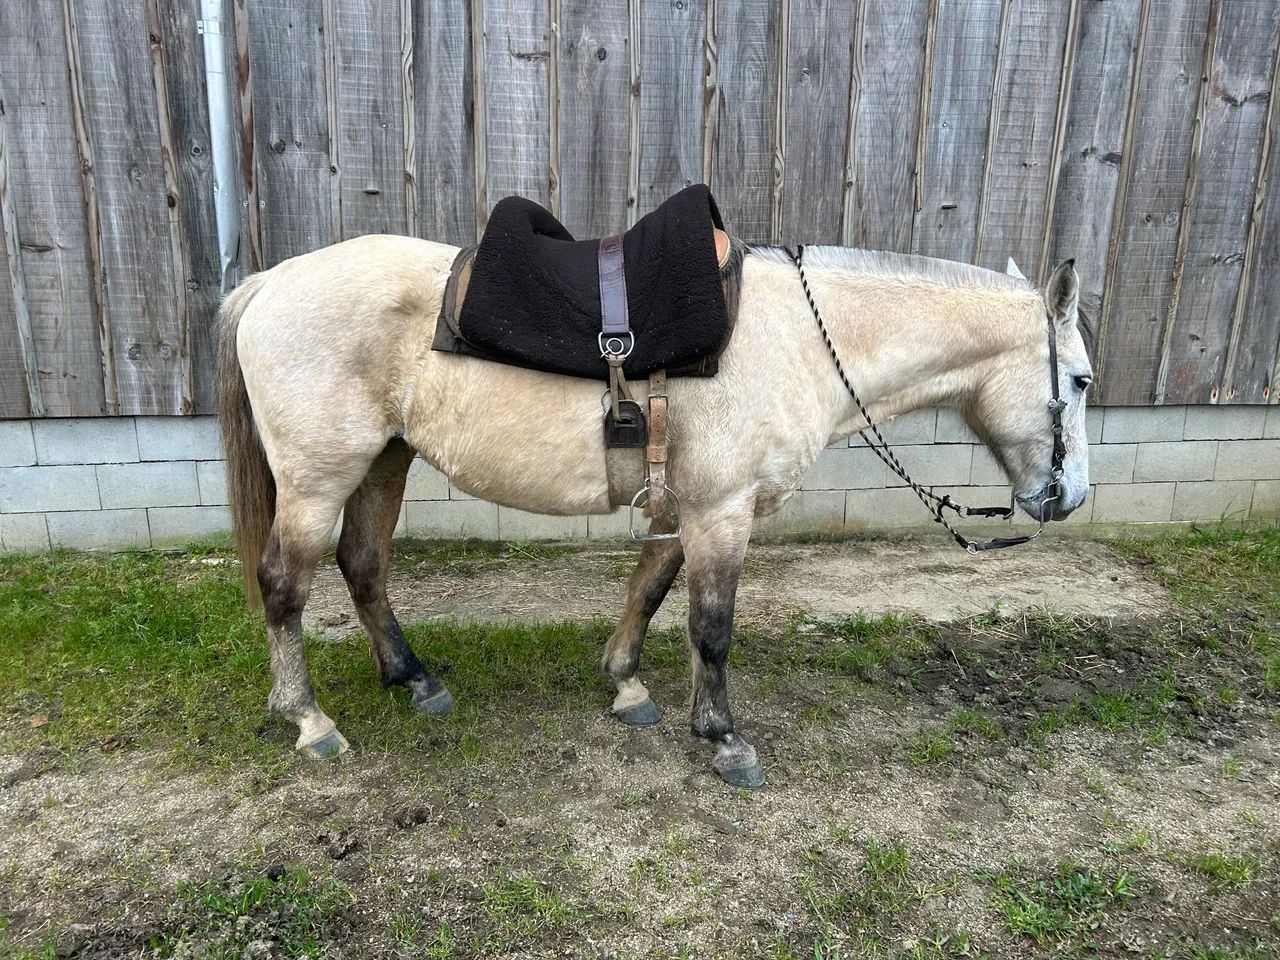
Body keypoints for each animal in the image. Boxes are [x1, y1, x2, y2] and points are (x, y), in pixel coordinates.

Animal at [216, 235, 1092, 788]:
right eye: (1081, 381)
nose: (1069, 495)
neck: (798, 339)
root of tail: (269, 284)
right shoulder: (723, 511)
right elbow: (712, 626)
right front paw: (725, 738)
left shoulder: (692, 508)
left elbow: (650, 590)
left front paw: (627, 686)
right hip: (317, 481)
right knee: (285, 587)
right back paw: (309, 720)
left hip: (382, 462)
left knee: (363, 565)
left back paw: (413, 678)